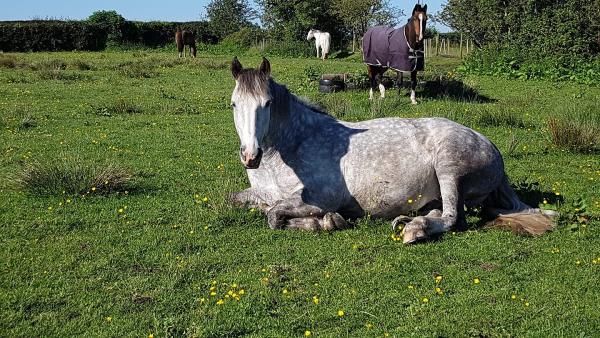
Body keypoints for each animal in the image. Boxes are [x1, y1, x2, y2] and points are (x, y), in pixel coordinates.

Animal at [227, 57, 556, 243]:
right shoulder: (261, 192)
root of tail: (492, 146)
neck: (293, 144)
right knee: (445, 213)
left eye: (267, 104)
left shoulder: (320, 197)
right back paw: (411, 222)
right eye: (233, 104)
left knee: (452, 218)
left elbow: (275, 216)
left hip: (450, 169)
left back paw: (414, 231)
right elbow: (241, 201)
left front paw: (325, 221)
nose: (251, 157)